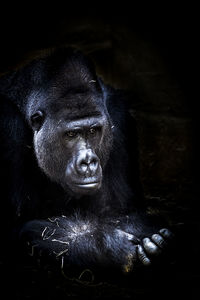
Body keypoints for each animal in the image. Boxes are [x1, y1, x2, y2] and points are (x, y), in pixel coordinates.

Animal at [0, 46, 172, 276]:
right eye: (71, 134)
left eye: (93, 131)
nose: (88, 161)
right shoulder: (6, 127)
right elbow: (17, 228)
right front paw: (114, 249)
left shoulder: (118, 115)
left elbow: (121, 212)